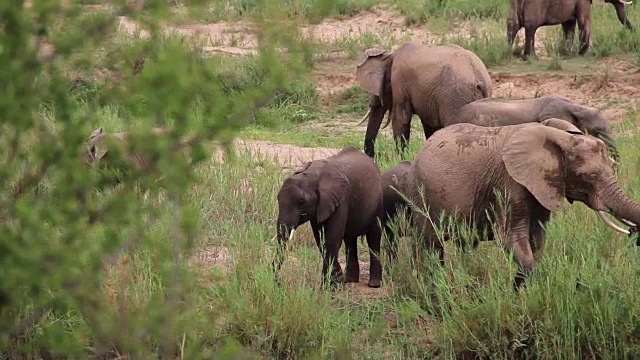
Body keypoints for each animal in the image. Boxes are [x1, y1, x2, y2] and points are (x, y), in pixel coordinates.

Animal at [272, 145, 382, 288]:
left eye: (301, 202)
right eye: (278, 199)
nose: (278, 282)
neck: (312, 174)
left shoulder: (340, 199)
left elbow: (332, 238)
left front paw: (332, 286)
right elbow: (321, 239)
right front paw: (335, 282)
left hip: (378, 203)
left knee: (373, 238)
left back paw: (374, 284)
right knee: (350, 240)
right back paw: (350, 280)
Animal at [352, 40, 492, 158]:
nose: (375, 156)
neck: (390, 55)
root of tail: (479, 77)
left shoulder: (399, 83)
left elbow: (401, 119)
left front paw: (402, 158)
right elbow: (428, 125)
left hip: (456, 98)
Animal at [400, 119, 640, 288]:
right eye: (589, 176)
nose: (633, 233)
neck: (560, 136)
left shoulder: (540, 188)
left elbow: (537, 240)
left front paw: (520, 287)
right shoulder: (509, 183)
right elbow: (511, 238)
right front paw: (523, 290)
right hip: (420, 193)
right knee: (430, 245)